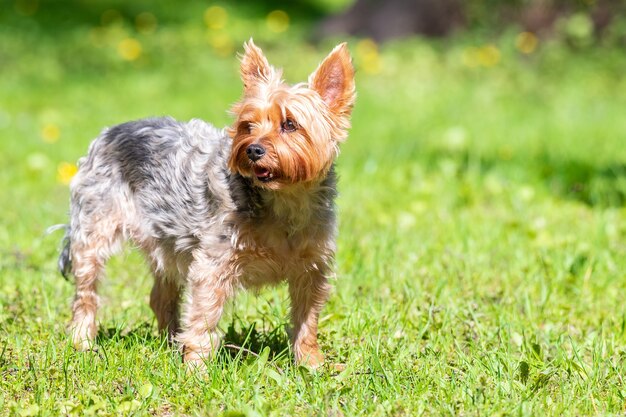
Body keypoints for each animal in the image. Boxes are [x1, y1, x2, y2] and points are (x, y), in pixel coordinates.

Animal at [56, 39, 354, 368]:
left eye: (290, 124)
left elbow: (307, 316)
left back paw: (171, 342)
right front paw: (196, 368)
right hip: (95, 225)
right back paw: (83, 342)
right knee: (86, 290)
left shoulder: (311, 267)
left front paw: (311, 363)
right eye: (247, 125)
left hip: (166, 241)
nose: (253, 149)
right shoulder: (214, 262)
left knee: (161, 294)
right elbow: (204, 315)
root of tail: (109, 131)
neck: (284, 199)